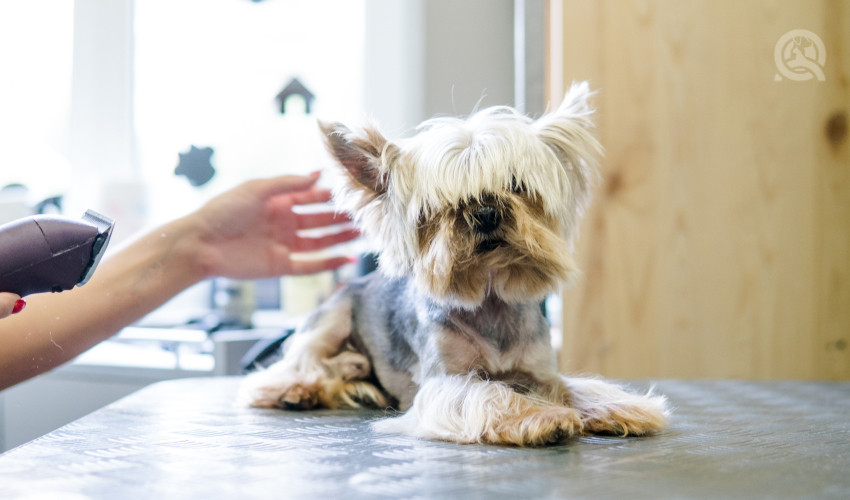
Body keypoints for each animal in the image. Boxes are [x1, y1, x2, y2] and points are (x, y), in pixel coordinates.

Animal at [235, 82, 664, 446]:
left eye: (516, 185)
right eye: (441, 203)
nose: (486, 212)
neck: (489, 297)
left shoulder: (541, 372)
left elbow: (576, 388)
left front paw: (621, 407)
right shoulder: (446, 381)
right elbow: (486, 393)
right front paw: (541, 417)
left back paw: (358, 381)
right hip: (332, 319)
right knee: (294, 366)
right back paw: (303, 388)